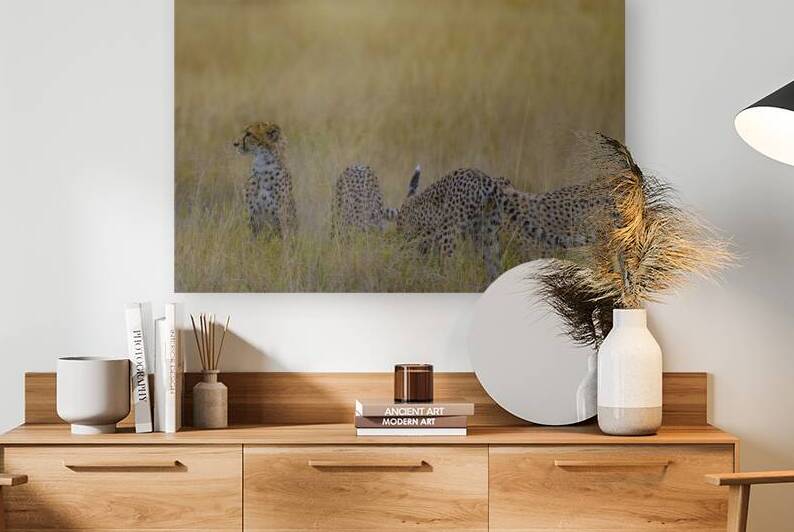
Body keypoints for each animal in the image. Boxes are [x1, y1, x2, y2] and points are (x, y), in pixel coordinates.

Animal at [395, 167, 608, 281]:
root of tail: (483, 178)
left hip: (453, 231)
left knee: (450, 260)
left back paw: (448, 281)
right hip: (487, 234)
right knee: (493, 263)